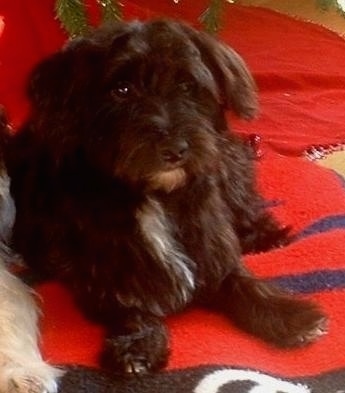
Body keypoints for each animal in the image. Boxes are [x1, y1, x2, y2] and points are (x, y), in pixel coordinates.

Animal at [2, 19, 326, 374]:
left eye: (187, 86)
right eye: (122, 90)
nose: (175, 150)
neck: (155, 195)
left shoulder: (210, 243)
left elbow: (240, 278)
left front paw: (289, 315)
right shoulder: (100, 268)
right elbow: (128, 307)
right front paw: (139, 345)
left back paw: (267, 236)